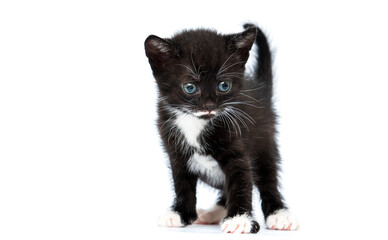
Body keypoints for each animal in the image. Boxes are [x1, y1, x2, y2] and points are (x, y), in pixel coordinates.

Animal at [144, 23, 298, 233]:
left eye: (224, 85)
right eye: (190, 87)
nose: (209, 106)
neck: (195, 122)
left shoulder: (237, 147)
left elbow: (241, 181)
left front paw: (239, 219)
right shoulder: (175, 151)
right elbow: (181, 182)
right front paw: (180, 213)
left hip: (264, 142)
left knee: (267, 178)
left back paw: (279, 214)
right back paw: (213, 213)